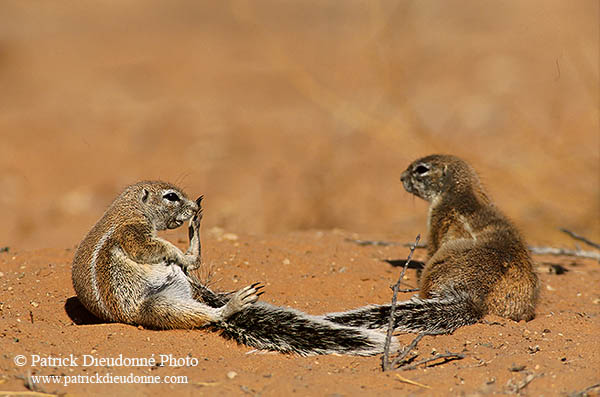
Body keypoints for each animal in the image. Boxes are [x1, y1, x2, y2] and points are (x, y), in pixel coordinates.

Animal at [72, 179, 392, 356]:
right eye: (171, 197)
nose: (192, 207)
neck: (131, 208)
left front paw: (192, 227)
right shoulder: (132, 233)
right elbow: (150, 248)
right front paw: (174, 251)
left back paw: (195, 235)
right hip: (156, 307)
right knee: (206, 314)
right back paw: (234, 302)